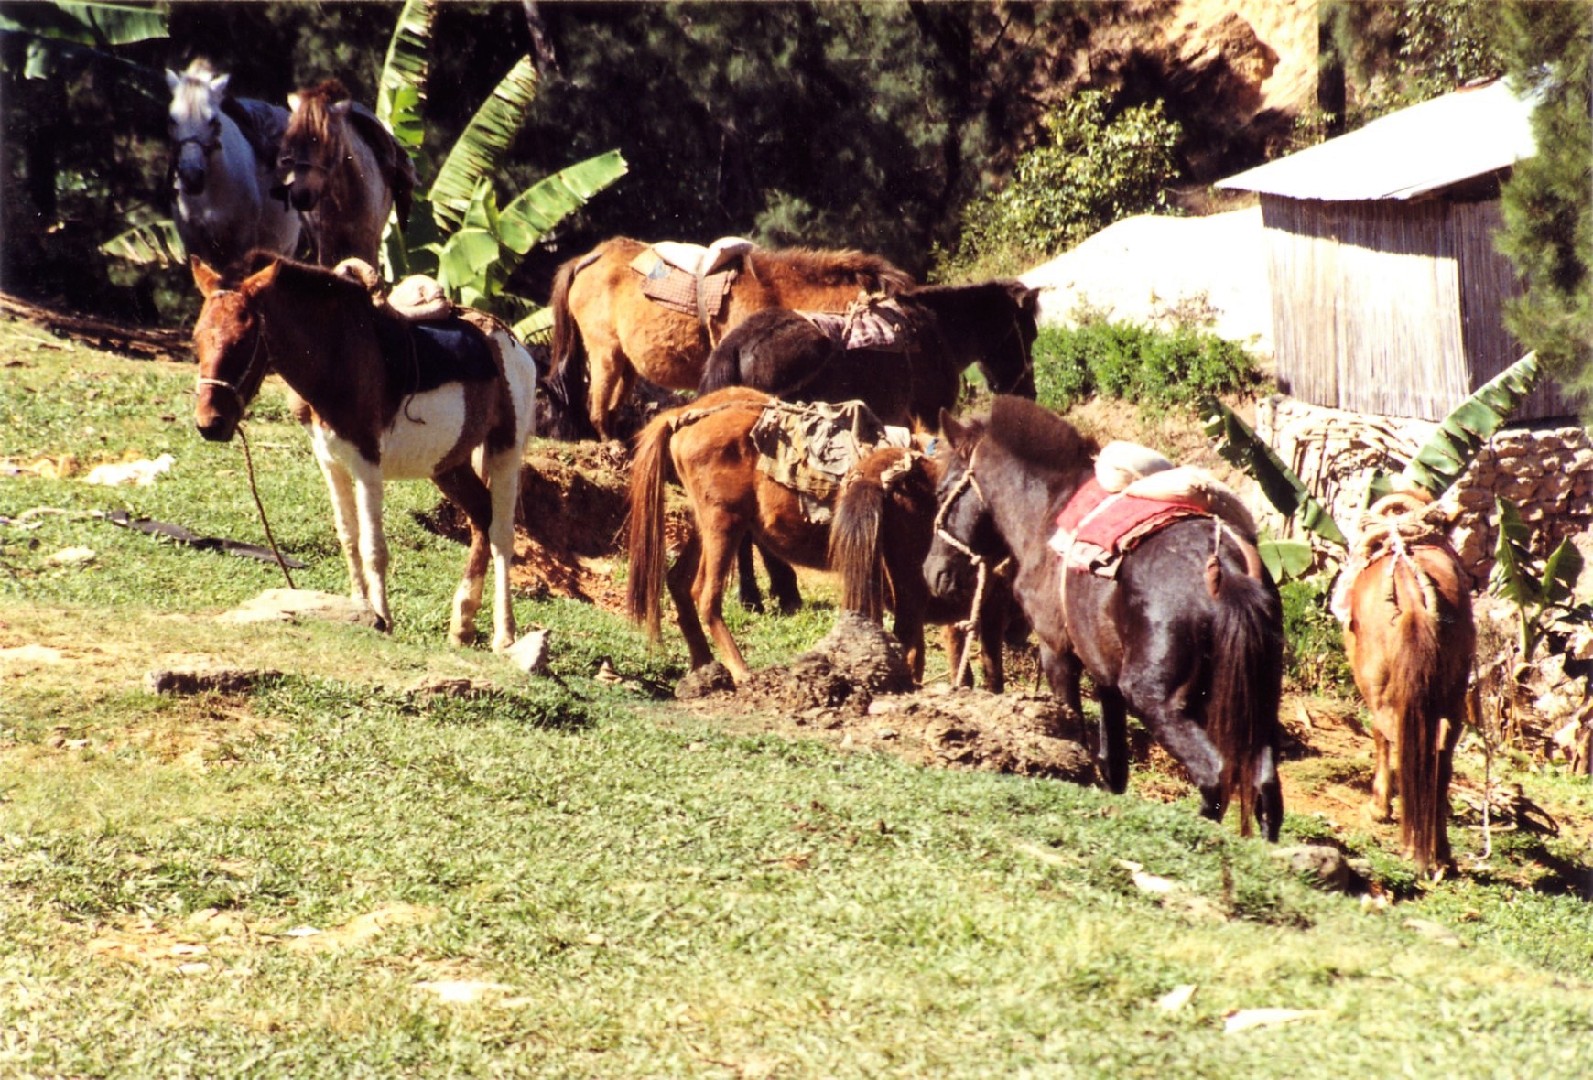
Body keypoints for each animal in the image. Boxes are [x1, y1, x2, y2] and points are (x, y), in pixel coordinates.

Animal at [190, 252, 537, 651]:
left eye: (244, 340)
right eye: (196, 338)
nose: (210, 424)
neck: (335, 355)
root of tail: (515, 345)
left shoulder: (367, 463)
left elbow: (374, 548)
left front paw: (383, 619)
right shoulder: (330, 460)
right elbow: (349, 538)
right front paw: (359, 611)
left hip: (505, 450)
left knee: (501, 535)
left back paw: (504, 634)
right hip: (449, 465)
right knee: (481, 516)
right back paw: (462, 623)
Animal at [275, 78, 416, 266]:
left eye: (329, 140)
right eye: (291, 138)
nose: (301, 195)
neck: (346, 200)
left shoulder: (367, 243)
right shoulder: (326, 246)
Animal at [627, 388, 950, 684]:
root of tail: (682, 416)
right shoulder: (905, 578)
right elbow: (910, 645)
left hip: (705, 526)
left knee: (677, 581)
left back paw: (704, 665)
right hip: (723, 524)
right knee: (705, 596)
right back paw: (740, 671)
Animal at [926, 397, 1286, 839]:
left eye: (943, 491)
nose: (933, 573)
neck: (1050, 509)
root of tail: (1225, 571)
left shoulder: (1057, 653)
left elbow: (1077, 736)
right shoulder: (1106, 678)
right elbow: (1114, 764)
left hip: (1154, 698)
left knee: (1213, 775)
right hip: (1258, 705)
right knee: (1266, 789)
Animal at [1338, 491, 1475, 877]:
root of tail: (1415, 600)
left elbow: (1378, 735)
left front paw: (1379, 808)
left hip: (1381, 687)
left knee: (1395, 737)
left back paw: (1400, 827)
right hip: (1453, 694)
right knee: (1442, 753)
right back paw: (1439, 852)